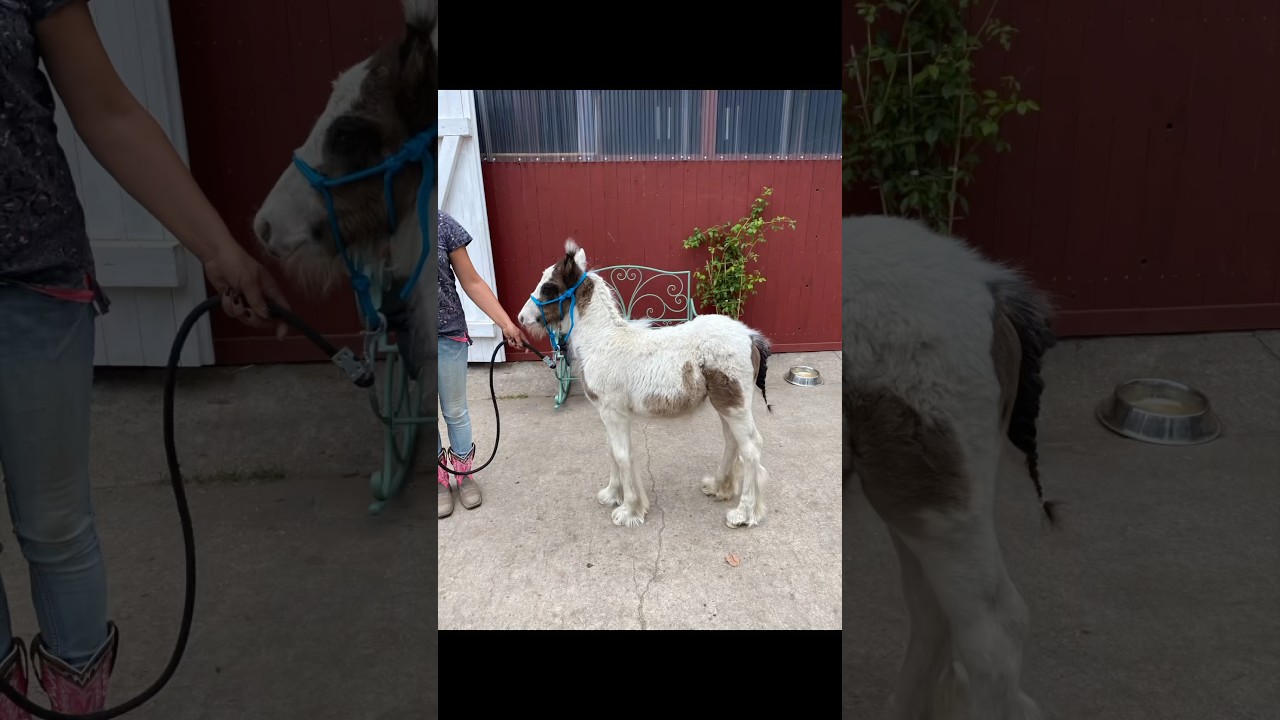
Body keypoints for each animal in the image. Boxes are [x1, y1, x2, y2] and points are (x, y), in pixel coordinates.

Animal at [515, 239, 775, 529]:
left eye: (549, 287)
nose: (522, 318)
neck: (602, 340)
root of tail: (750, 336)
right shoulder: (607, 414)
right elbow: (611, 451)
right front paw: (612, 495)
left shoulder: (614, 413)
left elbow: (621, 454)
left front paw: (629, 510)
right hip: (724, 404)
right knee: (732, 442)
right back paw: (718, 487)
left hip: (735, 405)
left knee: (751, 448)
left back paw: (744, 513)